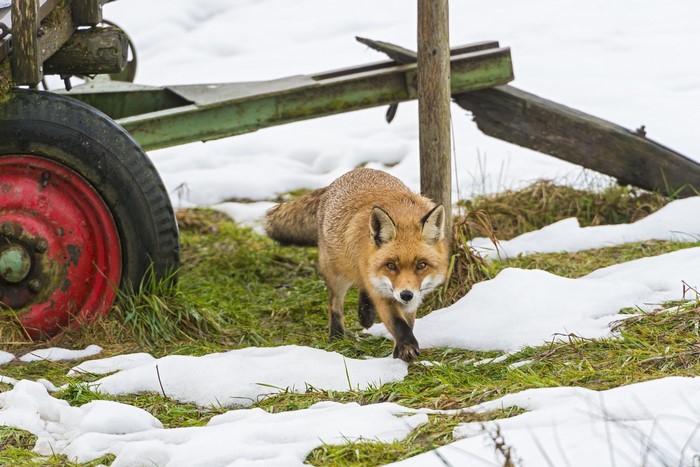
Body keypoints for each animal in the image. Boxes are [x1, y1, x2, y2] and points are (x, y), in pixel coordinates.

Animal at [264, 168, 449, 361]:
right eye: (391, 266)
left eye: (421, 265)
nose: (406, 295)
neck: (403, 212)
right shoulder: (384, 295)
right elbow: (399, 324)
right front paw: (407, 347)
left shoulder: (408, 296)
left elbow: (408, 323)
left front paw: (398, 351)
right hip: (337, 274)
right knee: (334, 304)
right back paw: (336, 336)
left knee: (362, 288)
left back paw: (365, 315)